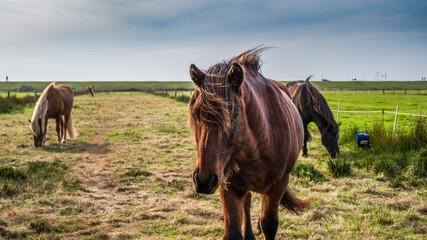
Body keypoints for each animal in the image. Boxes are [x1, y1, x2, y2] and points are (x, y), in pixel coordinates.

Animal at [189, 47, 310, 239]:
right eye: (195, 114)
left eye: (234, 114)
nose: (203, 180)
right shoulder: (228, 185)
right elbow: (233, 231)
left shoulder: (278, 185)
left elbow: (269, 224)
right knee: (246, 203)